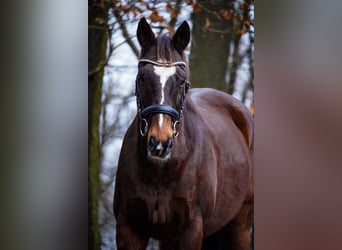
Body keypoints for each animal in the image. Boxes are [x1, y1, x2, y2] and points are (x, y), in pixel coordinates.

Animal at [114, 18, 254, 250]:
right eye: (142, 78)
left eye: (181, 81)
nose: (159, 143)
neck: (160, 171)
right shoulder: (129, 229)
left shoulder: (191, 230)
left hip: (239, 225)